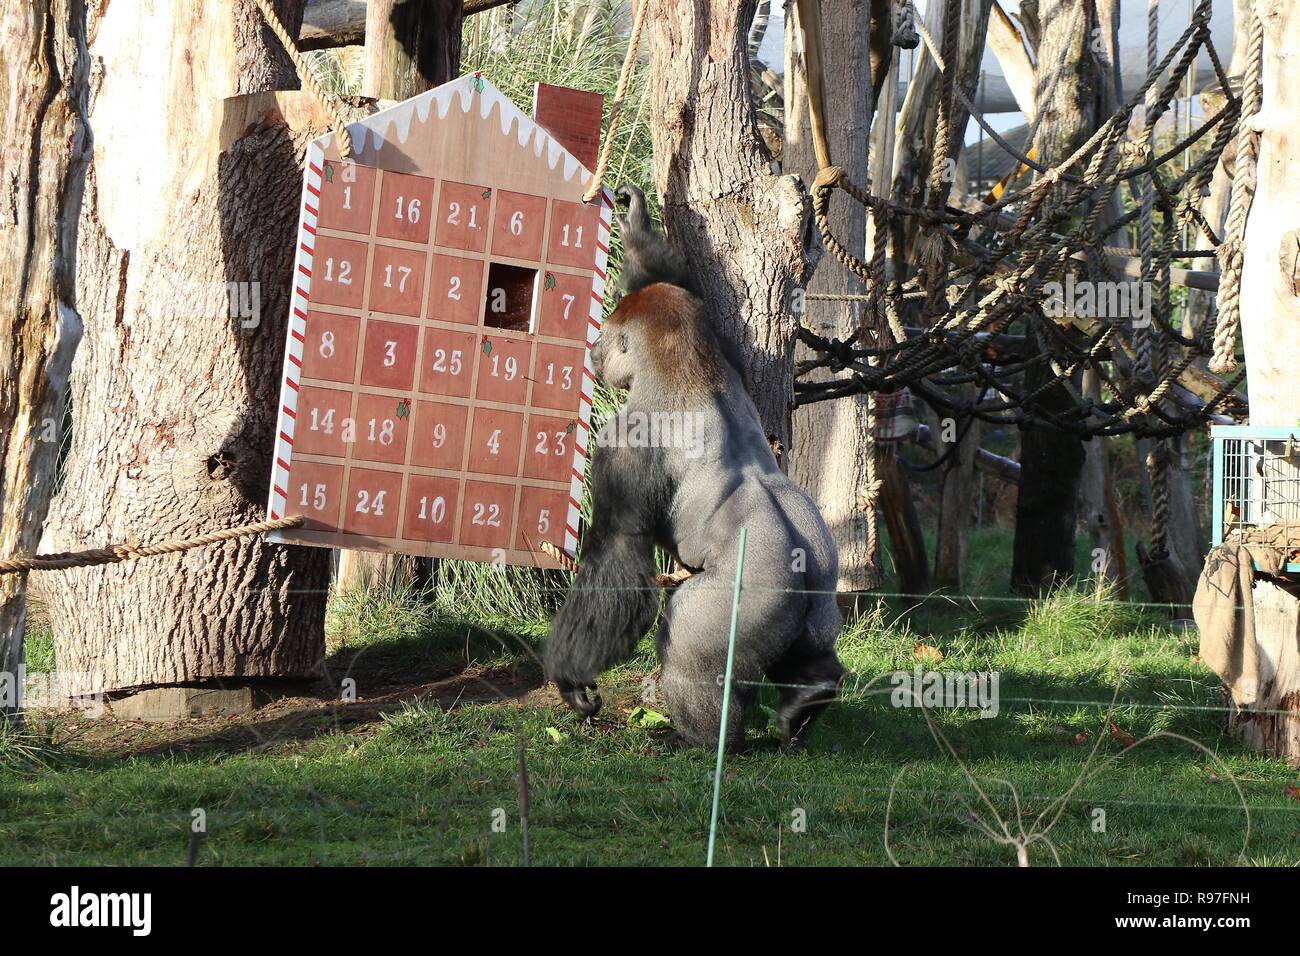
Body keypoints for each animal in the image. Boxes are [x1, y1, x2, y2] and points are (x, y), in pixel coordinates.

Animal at [540, 187, 837, 749]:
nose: (595, 352)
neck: (681, 362)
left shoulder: (622, 444)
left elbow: (618, 563)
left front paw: (570, 675)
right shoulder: (717, 338)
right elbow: (677, 278)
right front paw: (635, 220)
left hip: (749, 597)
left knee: (689, 649)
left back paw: (701, 737)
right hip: (824, 579)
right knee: (815, 650)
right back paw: (812, 695)